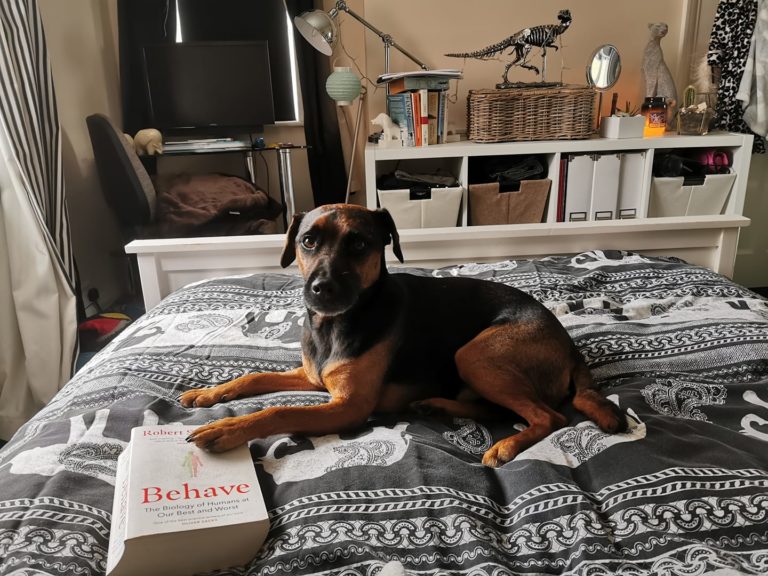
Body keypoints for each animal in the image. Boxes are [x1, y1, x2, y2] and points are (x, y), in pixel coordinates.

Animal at [183, 205, 628, 466]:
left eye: (360, 244)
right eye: (308, 241)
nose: (321, 289)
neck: (334, 325)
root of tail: (568, 345)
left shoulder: (348, 407)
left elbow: (278, 411)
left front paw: (226, 430)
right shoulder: (313, 377)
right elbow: (253, 377)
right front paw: (208, 394)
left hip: (475, 354)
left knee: (548, 416)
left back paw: (504, 446)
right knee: (501, 410)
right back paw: (434, 405)